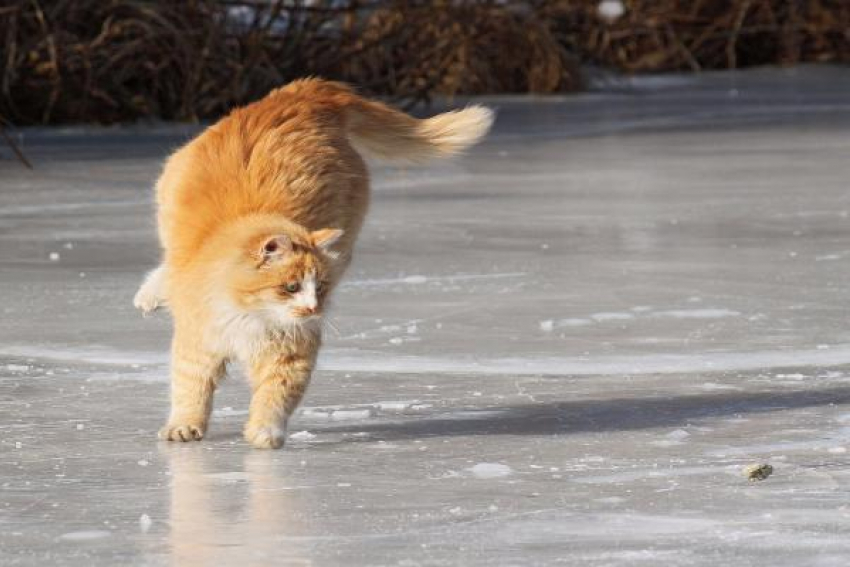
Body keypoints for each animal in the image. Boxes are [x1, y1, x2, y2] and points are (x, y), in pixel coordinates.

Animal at [132, 79, 490, 448]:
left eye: (321, 287)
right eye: (290, 287)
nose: (313, 309)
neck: (252, 316)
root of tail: (304, 92)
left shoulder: (292, 353)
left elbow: (275, 396)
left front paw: (265, 432)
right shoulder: (199, 343)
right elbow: (191, 390)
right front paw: (184, 425)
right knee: (167, 263)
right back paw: (151, 294)